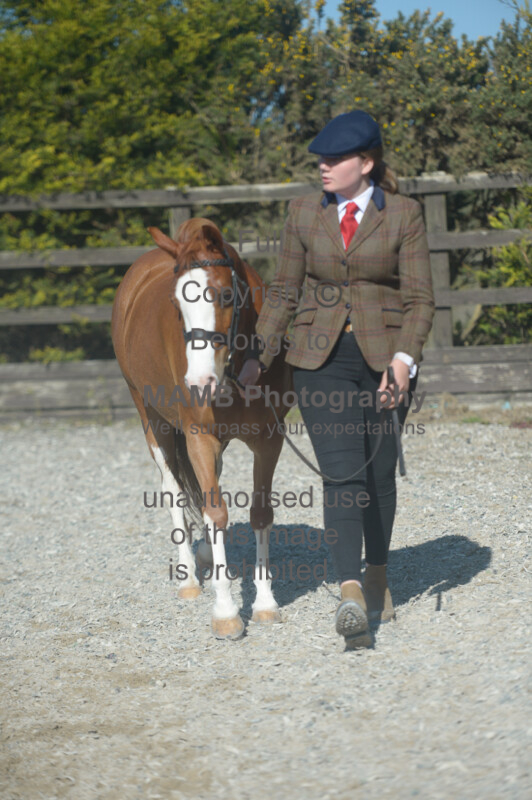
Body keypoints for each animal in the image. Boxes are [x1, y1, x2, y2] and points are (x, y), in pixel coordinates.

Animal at [111, 218, 293, 639]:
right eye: (178, 305)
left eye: (225, 295)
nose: (199, 381)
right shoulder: (197, 438)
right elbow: (214, 512)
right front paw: (225, 611)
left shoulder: (269, 440)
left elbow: (260, 513)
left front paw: (265, 602)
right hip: (151, 419)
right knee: (174, 489)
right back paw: (190, 578)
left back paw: (207, 556)